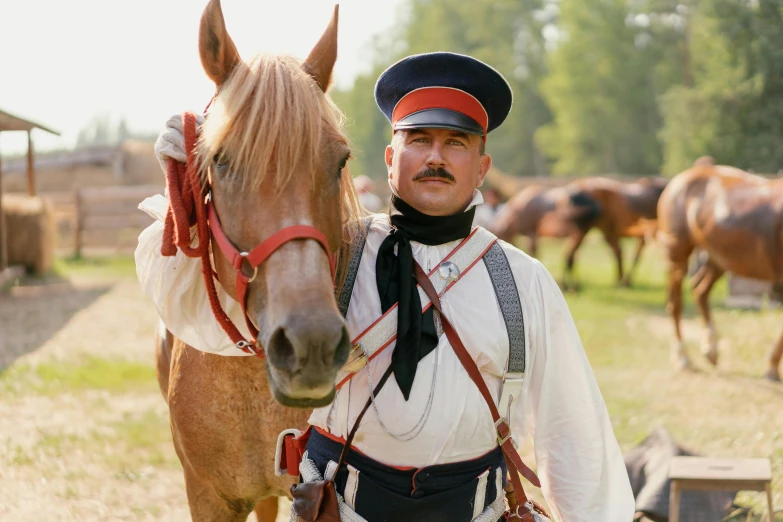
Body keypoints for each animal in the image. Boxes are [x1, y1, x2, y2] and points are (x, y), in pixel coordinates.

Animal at [490, 175, 668, 288]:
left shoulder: (532, 233)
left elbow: (551, 255)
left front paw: (570, 284)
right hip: (603, 232)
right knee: (621, 252)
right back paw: (621, 280)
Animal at [660, 156, 780, 380]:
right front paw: (772, 367)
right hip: (677, 253)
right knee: (675, 302)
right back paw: (683, 359)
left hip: (718, 259)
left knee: (700, 290)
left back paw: (711, 349)